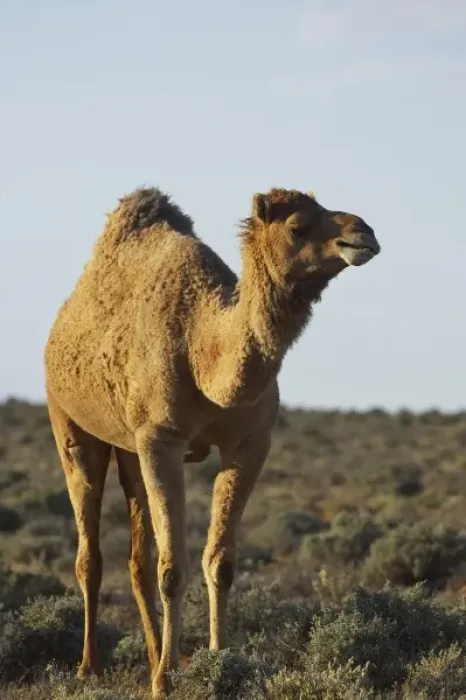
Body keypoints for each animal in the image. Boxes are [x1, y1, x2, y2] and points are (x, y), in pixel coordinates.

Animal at [44, 185, 381, 697]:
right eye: (298, 226)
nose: (363, 234)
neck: (202, 348)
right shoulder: (161, 439)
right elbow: (172, 568)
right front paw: (165, 682)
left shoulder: (250, 442)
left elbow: (219, 562)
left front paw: (219, 664)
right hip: (70, 426)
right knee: (91, 553)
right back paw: (90, 667)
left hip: (129, 449)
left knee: (136, 559)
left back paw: (153, 656)